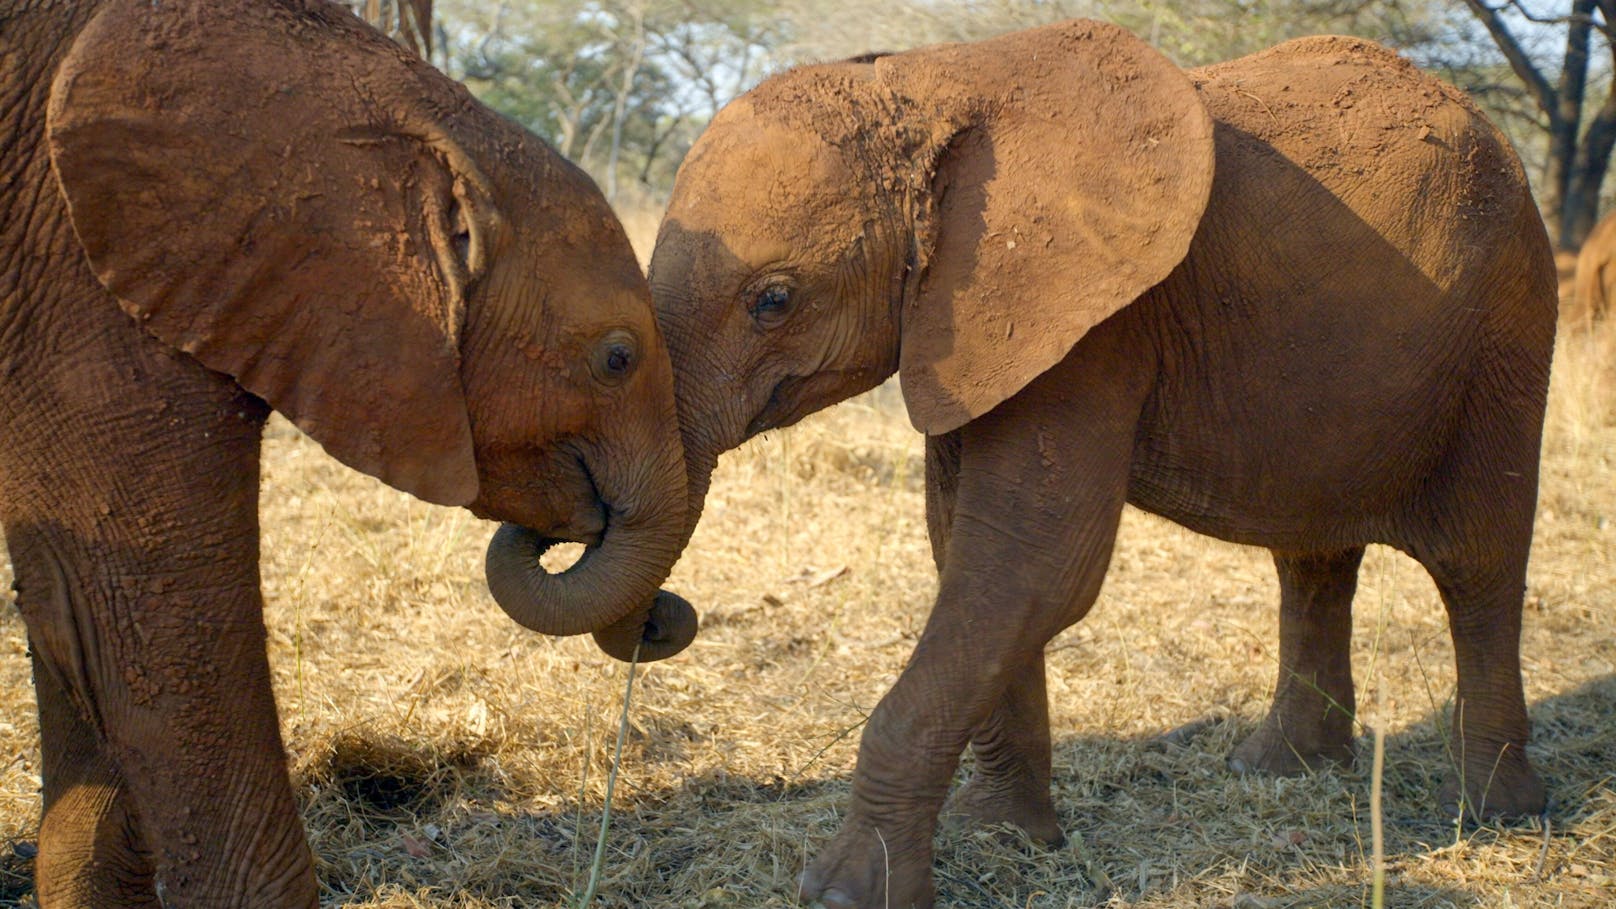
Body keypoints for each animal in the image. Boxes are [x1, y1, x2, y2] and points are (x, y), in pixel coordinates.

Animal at [646, 21, 1564, 905]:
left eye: (774, 300)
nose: (666, 615)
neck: (933, 79)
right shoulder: (975, 325)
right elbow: (968, 557)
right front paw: (1003, 835)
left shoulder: (1096, 325)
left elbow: (1036, 565)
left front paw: (844, 891)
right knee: (1312, 560)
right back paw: (1278, 767)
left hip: (1505, 335)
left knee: (1477, 564)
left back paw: (1494, 812)